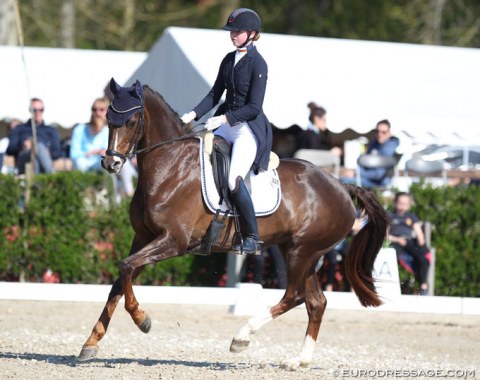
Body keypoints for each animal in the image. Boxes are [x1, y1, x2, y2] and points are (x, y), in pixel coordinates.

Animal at [78, 79, 386, 368]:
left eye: (131, 121)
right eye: (108, 119)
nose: (111, 164)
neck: (170, 165)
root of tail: (342, 185)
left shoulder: (173, 241)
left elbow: (126, 268)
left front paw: (143, 320)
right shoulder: (143, 238)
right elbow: (120, 280)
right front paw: (90, 343)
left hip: (302, 251)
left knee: (294, 296)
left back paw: (242, 337)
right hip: (303, 253)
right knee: (315, 302)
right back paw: (299, 360)